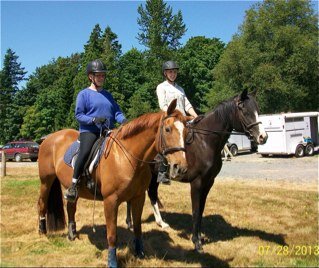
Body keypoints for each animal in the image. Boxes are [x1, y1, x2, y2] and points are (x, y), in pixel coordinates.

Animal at [38, 99, 192, 266]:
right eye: (168, 129)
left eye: (186, 132)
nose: (181, 167)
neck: (128, 158)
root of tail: (49, 138)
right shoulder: (111, 201)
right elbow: (112, 235)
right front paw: (112, 261)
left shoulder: (138, 197)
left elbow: (137, 228)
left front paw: (140, 253)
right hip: (46, 181)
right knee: (42, 204)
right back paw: (42, 232)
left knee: (70, 207)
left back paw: (72, 234)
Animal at [126, 89, 268, 252]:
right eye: (244, 110)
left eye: (257, 110)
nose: (263, 137)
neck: (205, 143)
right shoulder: (197, 183)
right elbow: (195, 210)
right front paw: (196, 242)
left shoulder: (208, 183)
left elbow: (200, 211)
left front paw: (199, 238)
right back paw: (131, 223)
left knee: (151, 194)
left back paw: (159, 223)